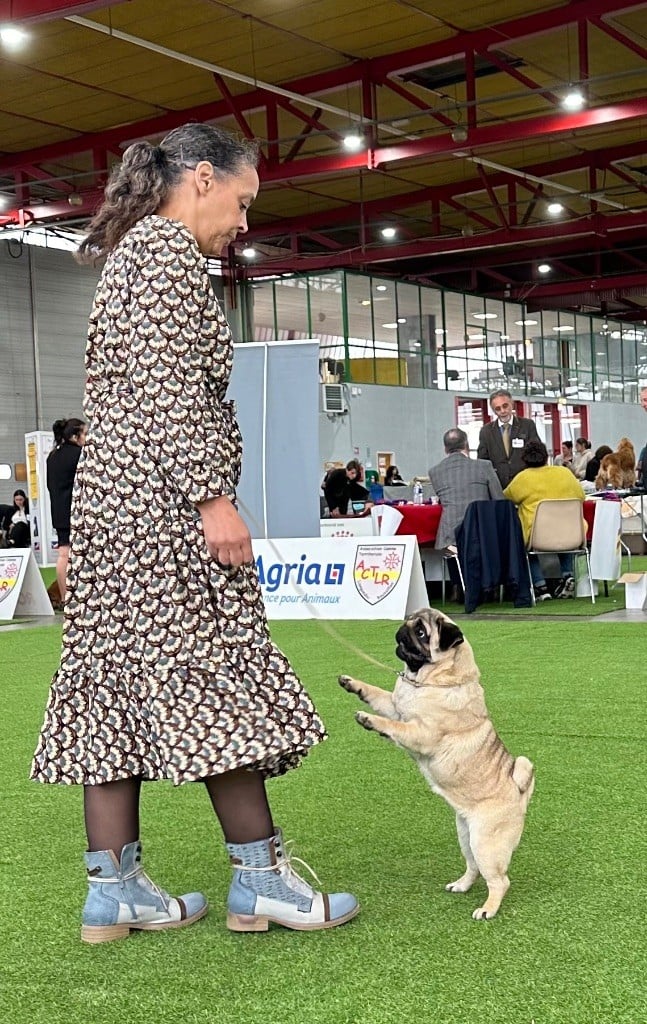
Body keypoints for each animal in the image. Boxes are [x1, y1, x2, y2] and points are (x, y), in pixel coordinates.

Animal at [337, 606, 536, 921]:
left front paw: (370, 720)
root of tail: (521, 791)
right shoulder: (395, 705)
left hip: (485, 842)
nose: (402, 627)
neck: (426, 680)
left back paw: (488, 909)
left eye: (421, 632)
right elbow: (377, 694)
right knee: (473, 868)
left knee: (499, 880)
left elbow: (392, 726)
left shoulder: (419, 732)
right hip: (466, 836)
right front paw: (353, 684)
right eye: (410, 621)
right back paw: (461, 885)